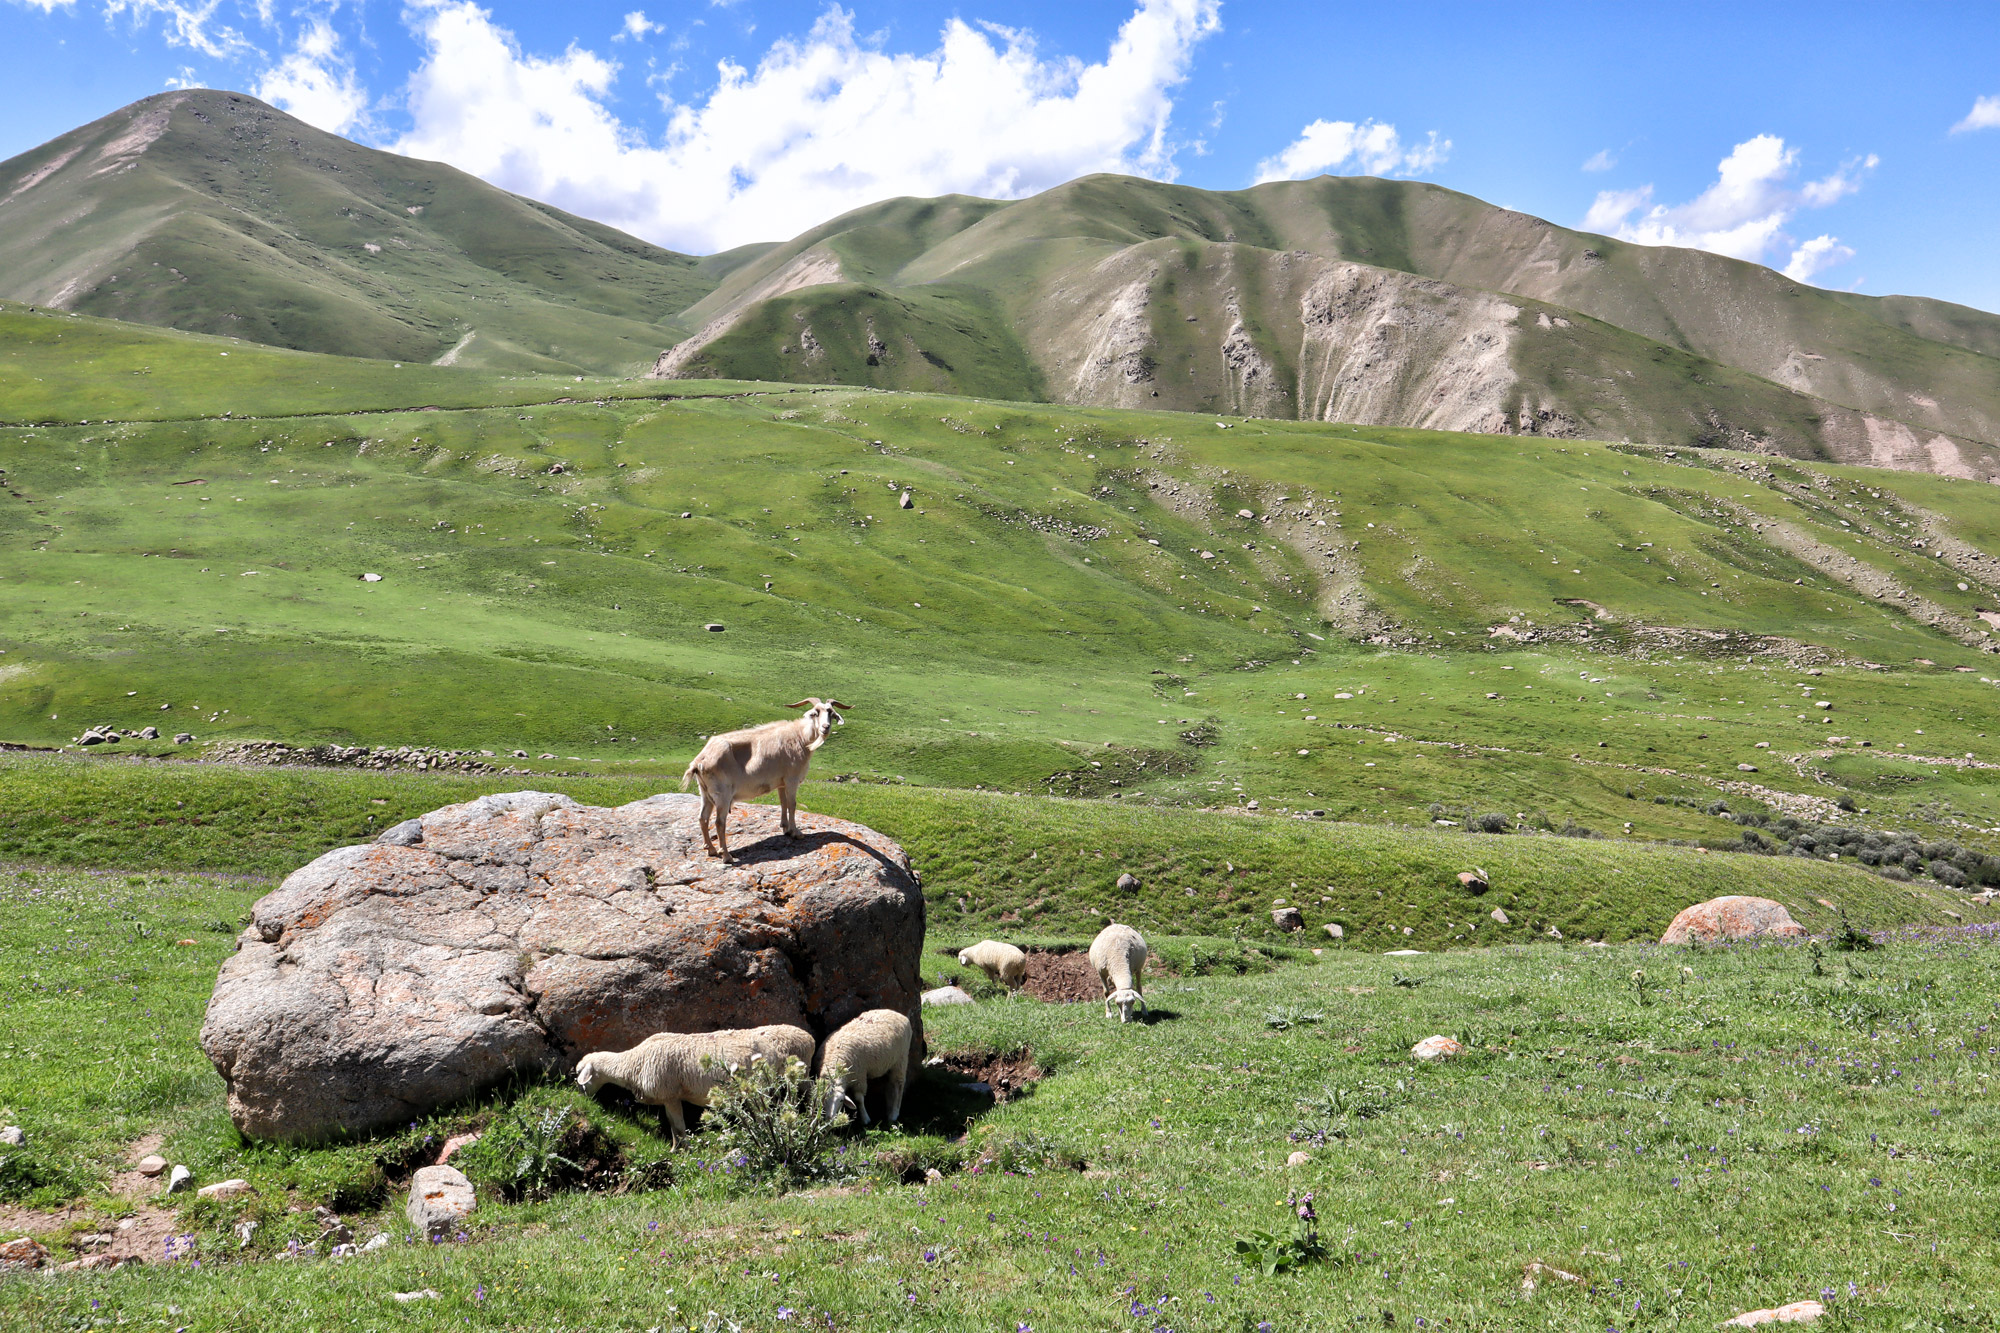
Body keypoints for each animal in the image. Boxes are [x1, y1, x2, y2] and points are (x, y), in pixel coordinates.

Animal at [572, 1016, 812, 1128]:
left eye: (580, 1074)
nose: (581, 1097)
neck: (632, 1063)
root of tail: (807, 1038)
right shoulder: (671, 1096)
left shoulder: (668, 1094)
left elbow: (677, 1127)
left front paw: (681, 1152)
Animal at [684, 696, 848, 860]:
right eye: (816, 713)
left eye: (831, 713)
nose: (825, 727)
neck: (801, 738)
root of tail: (699, 761)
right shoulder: (792, 779)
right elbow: (792, 804)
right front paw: (796, 833)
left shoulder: (781, 782)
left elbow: (783, 803)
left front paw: (786, 828)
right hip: (722, 794)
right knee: (719, 822)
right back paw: (726, 856)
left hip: (705, 792)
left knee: (703, 818)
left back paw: (710, 849)